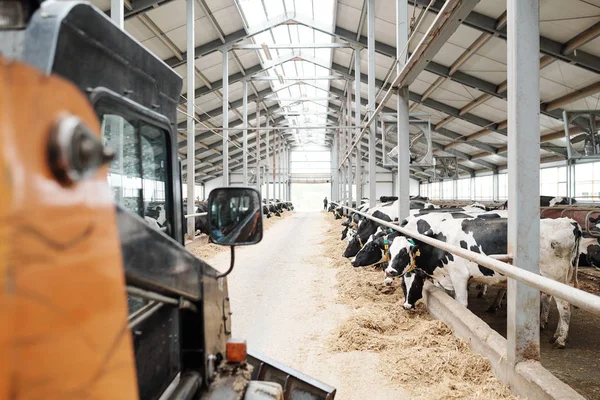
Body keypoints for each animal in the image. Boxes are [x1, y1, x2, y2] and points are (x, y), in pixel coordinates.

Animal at [384, 214, 580, 348]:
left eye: (404, 252)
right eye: (403, 285)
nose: (389, 271)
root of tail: (568, 222)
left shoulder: (459, 277)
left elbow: (461, 305)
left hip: (554, 278)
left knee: (564, 307)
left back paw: (560, 340)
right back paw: (554, 333)